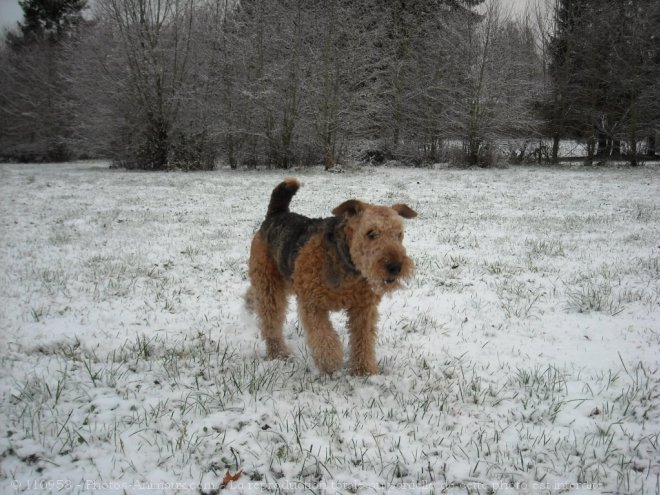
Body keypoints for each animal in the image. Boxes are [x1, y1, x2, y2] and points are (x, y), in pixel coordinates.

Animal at [245, 179, 416, 376]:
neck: (347, 263)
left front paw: (364, 370)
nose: (395, 267)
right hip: (269, 285)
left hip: (283, 279)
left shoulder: (363, 308)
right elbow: (323, 336)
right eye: (371, 233)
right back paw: (278, 353)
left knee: (253, 295)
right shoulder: (312, 304)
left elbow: (363, 339)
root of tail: (276, 214)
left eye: (399, 234)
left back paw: (248, 305)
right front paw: (331, 363)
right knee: (270, 321)